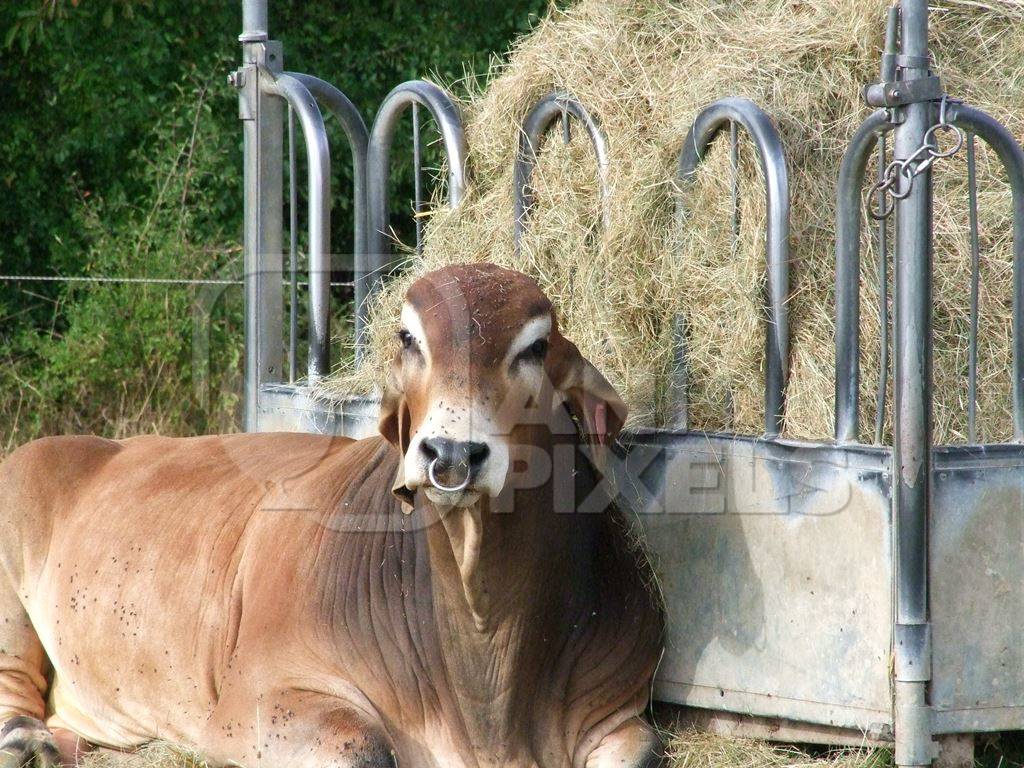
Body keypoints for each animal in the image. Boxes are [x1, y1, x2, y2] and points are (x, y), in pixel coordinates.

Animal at [0, 266, 663, 768]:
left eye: (536, 347)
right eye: (408, 339)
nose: (450, 454)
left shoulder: (620, 713)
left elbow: (644, 749)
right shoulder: (254, 701)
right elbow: (365, 747)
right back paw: (28, 743)